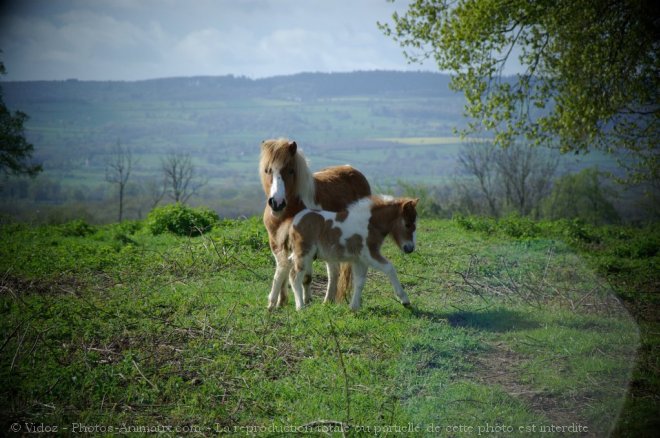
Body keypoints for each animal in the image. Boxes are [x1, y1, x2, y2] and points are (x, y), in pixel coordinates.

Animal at [260, 139, 372, 310]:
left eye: (291, 171)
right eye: (268, 170)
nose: (277, 203)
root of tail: (354, 171)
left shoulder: (306, 245)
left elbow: (303, 275)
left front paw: (304, 301)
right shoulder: (277, 244)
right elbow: (282, 270)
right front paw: (280, 302)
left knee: (335, 271)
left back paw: (329, 300)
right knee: (334, 270)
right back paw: (329, 300)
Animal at [288, 195, 418, 312]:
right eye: (408, 224)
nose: (410, 248)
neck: (370, 224)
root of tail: (296, 220)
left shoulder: (360, 260)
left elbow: (360, 282)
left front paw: (354, 307)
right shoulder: (369, 254)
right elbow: (390, 268)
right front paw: (404, 300)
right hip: (304, 253)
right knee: (294, 276)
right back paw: (300, 307)